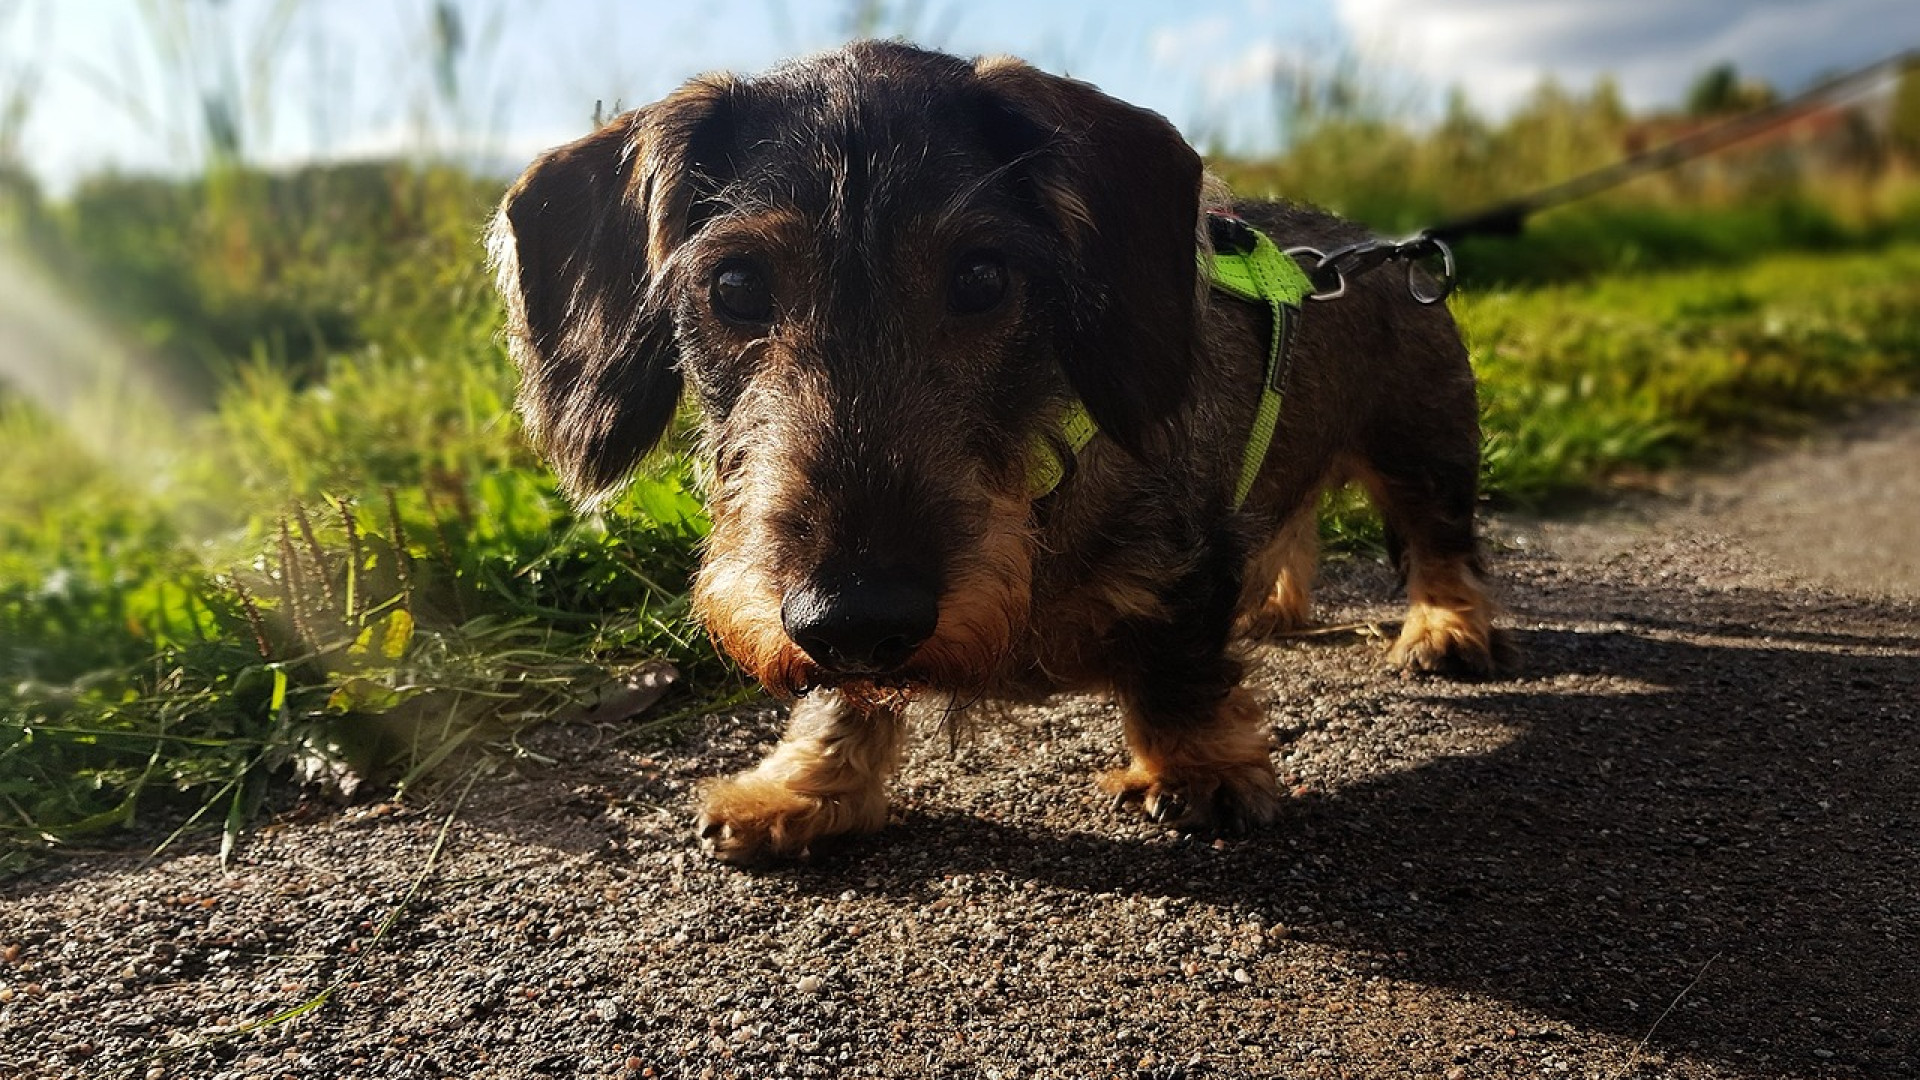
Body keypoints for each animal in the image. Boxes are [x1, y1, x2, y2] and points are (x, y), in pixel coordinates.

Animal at [483, 42, 1497, 860]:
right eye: (734, 285)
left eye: (980, 277)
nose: (856, 615)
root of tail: (1373, 250)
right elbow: (838, 696)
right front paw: (804, 788)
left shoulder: (1188, 560)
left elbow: (1179, 665)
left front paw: (1199, 767)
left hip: (1424, 442)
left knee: (1442, 539)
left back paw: (1442, 628)